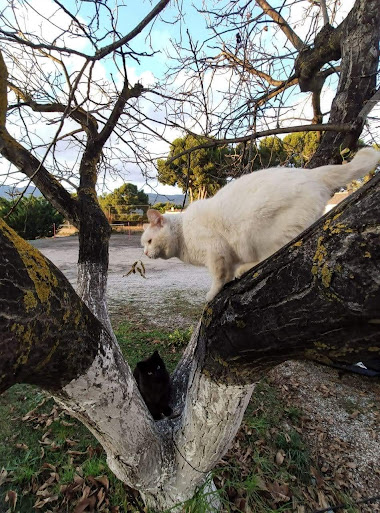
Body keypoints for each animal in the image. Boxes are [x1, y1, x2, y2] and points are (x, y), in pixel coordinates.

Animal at [142, 147, 380, 300]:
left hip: (258, 232)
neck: (182, 234)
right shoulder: (225, 255)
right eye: (144, 244)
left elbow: (218, 276)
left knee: (271, 255)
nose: (144, 253)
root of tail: (311, 173)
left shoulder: (215, 250)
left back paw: (245, 268)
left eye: (149, 241)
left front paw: (211, 294)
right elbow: (225, 272)